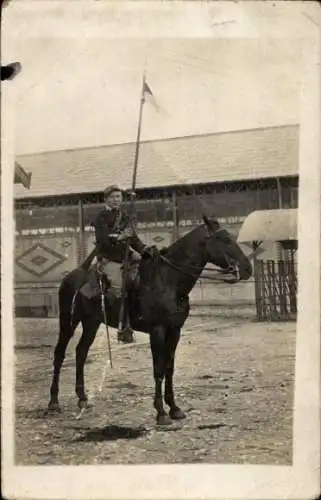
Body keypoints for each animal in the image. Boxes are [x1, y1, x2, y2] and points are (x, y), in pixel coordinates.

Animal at [48, 215, 252, 426]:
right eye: (224, 239)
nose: (247, 268)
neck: (169, 281)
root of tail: (75, 273)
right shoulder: (158, 331)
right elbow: (159, 369)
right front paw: (161, 412)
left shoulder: (175, 331)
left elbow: (169, 368)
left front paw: (174, 409)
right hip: (69, 321)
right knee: (59, 354)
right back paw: (53, 402)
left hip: (91, 322)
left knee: (81, 352)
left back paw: (82, 398)